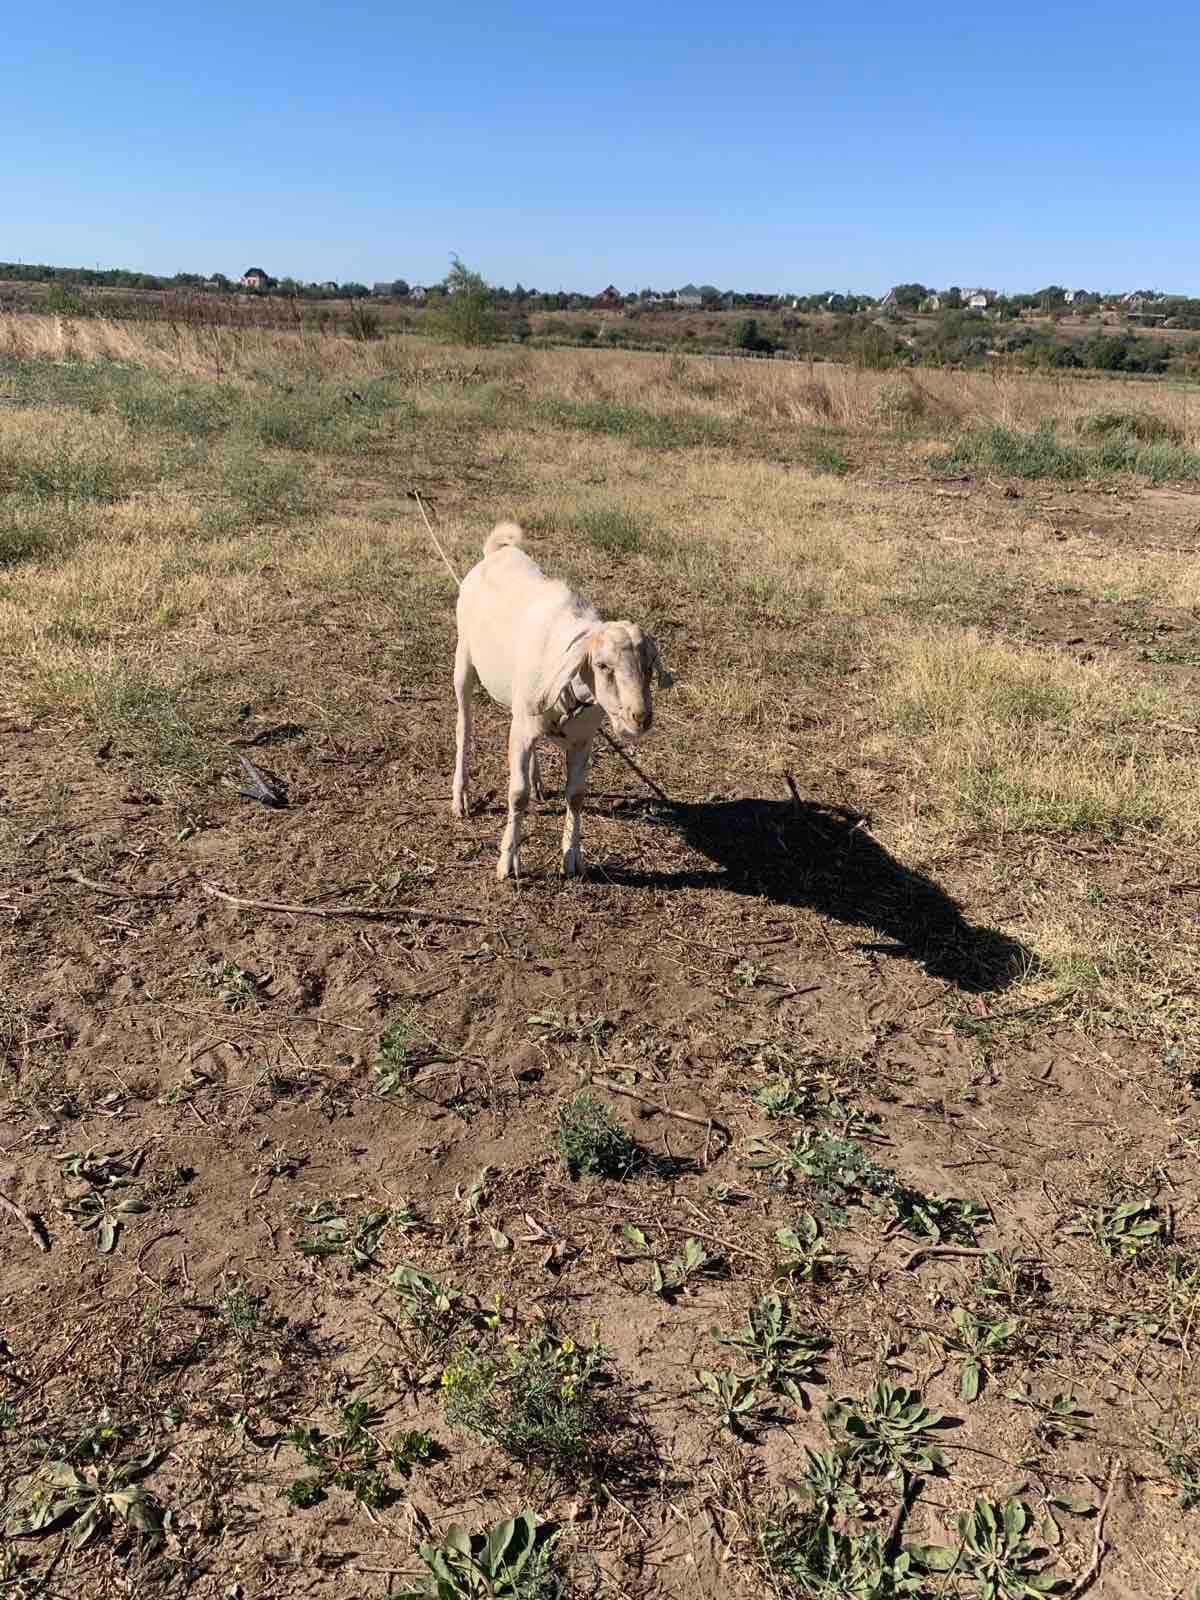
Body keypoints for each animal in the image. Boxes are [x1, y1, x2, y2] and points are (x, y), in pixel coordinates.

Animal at [454, 524, 672, 883]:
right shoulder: (523, 731)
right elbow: (517, 795)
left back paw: (538, 781)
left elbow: (577, 795)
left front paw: (572, 858)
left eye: (649, 666)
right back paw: (460, 797)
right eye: (602, 666)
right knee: (463, 727)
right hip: (464, 660)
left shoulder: (583, 739)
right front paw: (508, 862)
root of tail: (498, 551)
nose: (640, 717)